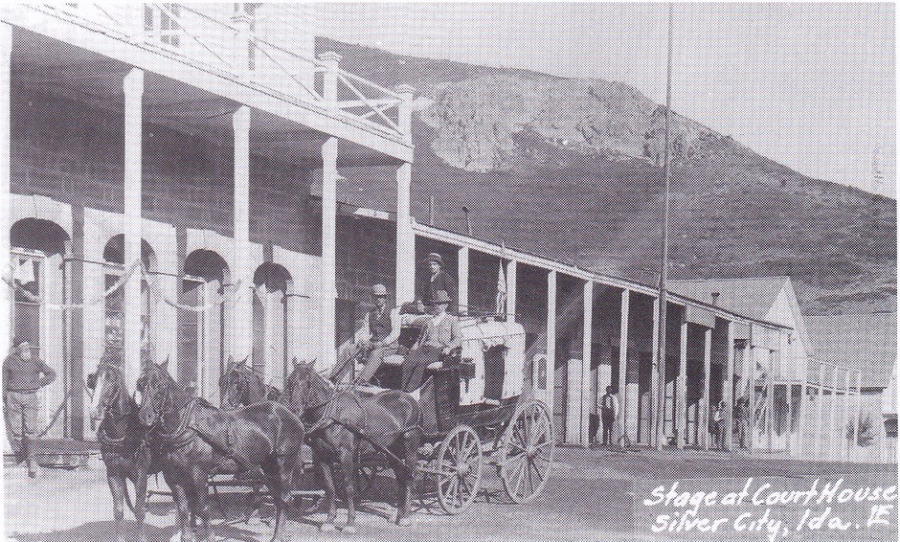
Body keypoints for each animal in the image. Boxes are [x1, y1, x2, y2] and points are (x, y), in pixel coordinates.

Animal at [89, 362, 163, 542]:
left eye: (112, 381)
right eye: (93, 381)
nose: (95, 411)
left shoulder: (141, 475)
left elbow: (139, 510)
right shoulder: (114, 474)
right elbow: (119, 510)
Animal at [137, 362, 304, 542]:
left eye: (159, 385)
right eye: (139, 385)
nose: (145, 417)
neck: (186, 425)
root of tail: (290, 414)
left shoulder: (199, 475)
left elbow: (203, 509)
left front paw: (210, 536)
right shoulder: (173, 477)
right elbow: (183, 509)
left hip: (283, 466)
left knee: (284, 499)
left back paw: (278, 536)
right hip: (268, 467)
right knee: (278, 498)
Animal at [282, 360, 422, 532]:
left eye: (309, 383)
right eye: (290, 381)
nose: (295, 409)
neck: (332, 415)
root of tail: (409, 399)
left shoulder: (346, 454)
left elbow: (349, 487)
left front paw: (349, 523)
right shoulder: (322, 456)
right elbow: (330, 488)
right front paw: (329, 520)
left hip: (410, 445)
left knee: (409, 475)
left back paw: (406, 517)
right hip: (391, 449)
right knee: (401, 477)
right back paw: (398, 515)